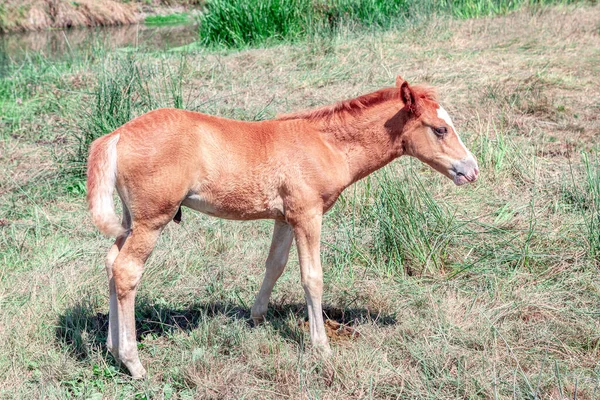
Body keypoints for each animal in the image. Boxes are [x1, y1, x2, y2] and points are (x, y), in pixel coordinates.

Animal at [86, 77, 478, 378]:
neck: (325, 144)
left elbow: (274, 265)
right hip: (152, 220)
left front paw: (256, 318)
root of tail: (117, 135)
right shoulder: (308, 215)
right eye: (440, 129)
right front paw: (321, 347)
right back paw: (134, 363)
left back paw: (112, 348)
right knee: (127, 271)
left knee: (111, 263)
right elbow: (312, 277)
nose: (471, 170)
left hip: (130, 221)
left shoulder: (284, 218)